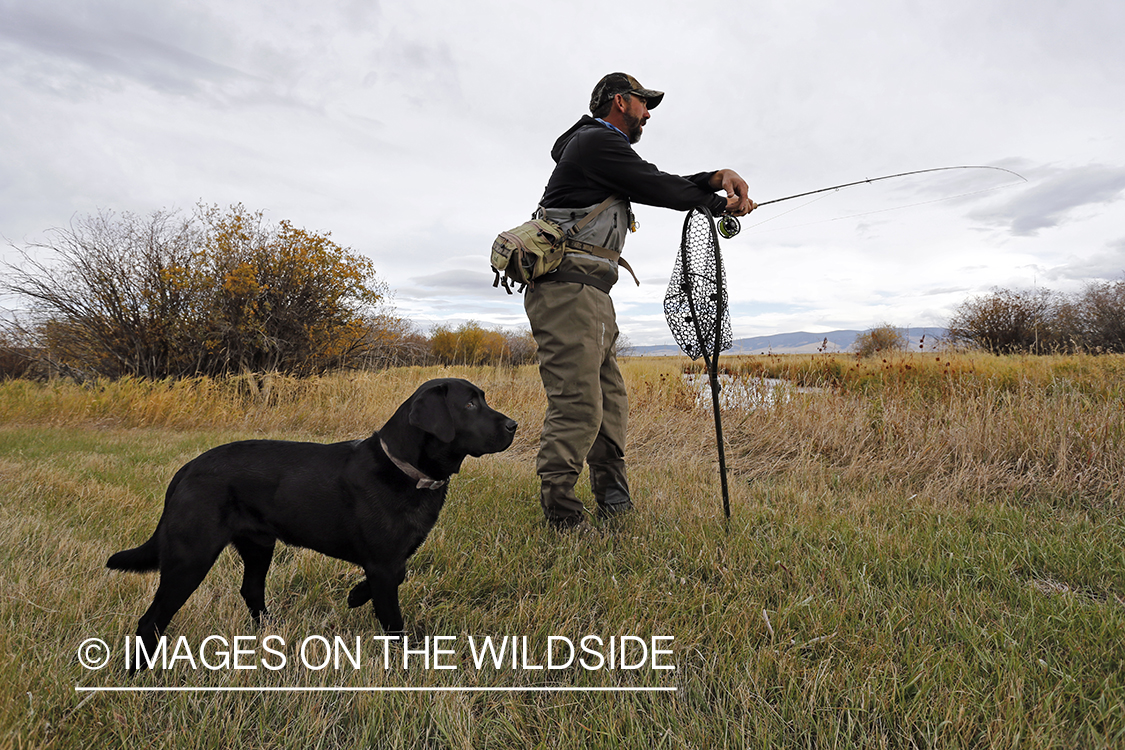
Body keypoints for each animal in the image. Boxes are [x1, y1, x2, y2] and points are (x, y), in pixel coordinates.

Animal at [109, 377, 515, 665]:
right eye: (469, 403)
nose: (513, 425)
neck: (405, 470)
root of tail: (187, 468)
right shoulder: (382, 562)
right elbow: (393, 619)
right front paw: (407, 660)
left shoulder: (390, 560)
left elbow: (397, 577)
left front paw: (355, 595)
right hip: (191, 556)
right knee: (152, 618)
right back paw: (139, 670)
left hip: (258, 545)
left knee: (251, 589)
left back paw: (271, 635)